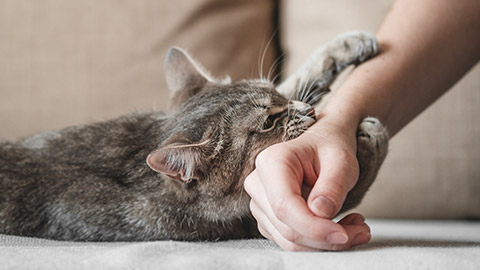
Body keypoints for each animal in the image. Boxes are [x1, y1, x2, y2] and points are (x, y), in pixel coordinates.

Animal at [0, 31, 388, 240]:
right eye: (267, 124)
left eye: (275, 96)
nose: (308, 112)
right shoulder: (248, 222)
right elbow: (352, 186)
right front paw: (372, 139)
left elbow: (299, 78)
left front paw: (346, 45)